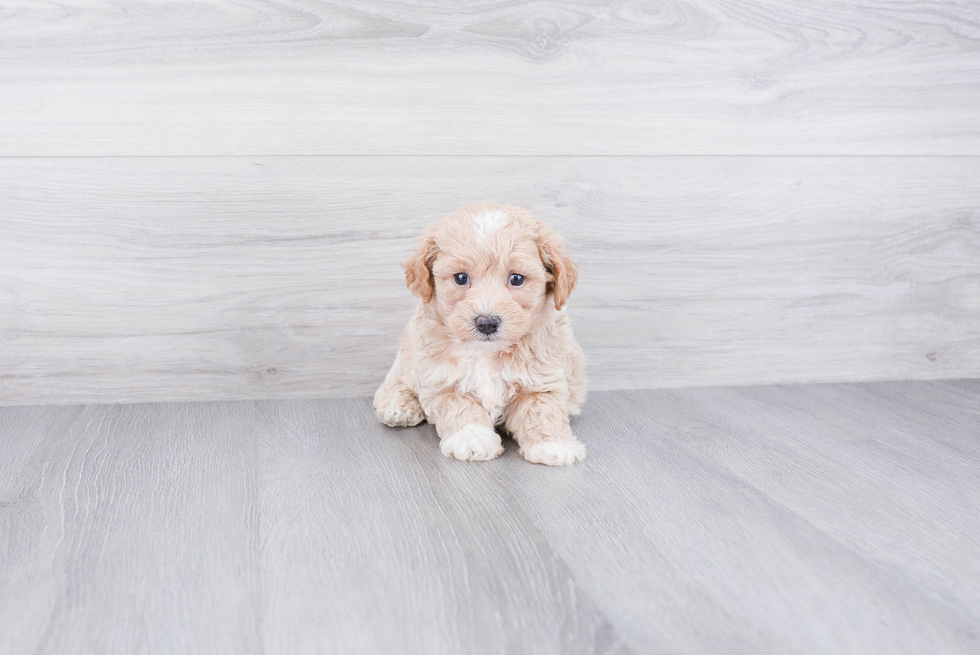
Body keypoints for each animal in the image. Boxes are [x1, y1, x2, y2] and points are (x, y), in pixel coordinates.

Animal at [374, 202, 588, 464]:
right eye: (460, 277)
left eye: (517, 279)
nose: (486, 322)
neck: (486, 353)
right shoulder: (441, 379)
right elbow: (462, 409)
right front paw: (472, 439)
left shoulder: (543, 377)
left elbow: (542, 410)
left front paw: (553, 445)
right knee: (399, 378)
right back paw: (398, 405)